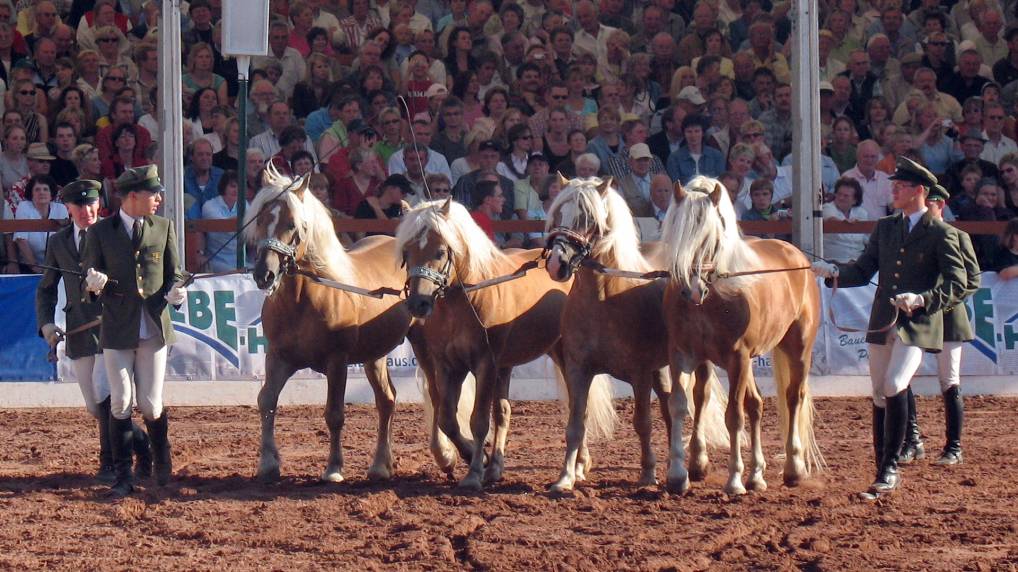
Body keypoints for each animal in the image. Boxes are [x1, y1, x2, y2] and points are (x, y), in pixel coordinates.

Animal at [244, 163, 419, 480]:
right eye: (261, 220)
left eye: (293, 225)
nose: (264, 274)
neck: (302, 301)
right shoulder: (278, 357)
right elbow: (267, 401)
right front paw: (268, 463)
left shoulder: (337, 361)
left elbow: (334, 414)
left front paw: (334, 468)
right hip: (374, 356)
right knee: (387, 400)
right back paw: (381, 465)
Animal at [394, 198, 610, 488]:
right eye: (406, 252)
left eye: (440, 252)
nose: (418, 303)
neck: (465, 300)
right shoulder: (449, 366)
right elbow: (448, 419)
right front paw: (477, 459)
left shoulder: (485, 364)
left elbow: (478, 420)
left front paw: (474, 473)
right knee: (505, 411)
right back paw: (499, 467)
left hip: (566, 357)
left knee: (576, 406)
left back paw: (577, 466)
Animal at [545, 174, 737, 490]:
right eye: (558, 214)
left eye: (588, 218)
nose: (556, 263)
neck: (604, 298)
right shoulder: (578, 369)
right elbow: (576, 423)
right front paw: (565, 478)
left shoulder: (639, 373)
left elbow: (643, 423)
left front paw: (648, 474)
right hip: (663, 369)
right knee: (670, 409)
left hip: (695, 363)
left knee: (699, 400)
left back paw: (696, 463)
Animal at [655, 176, 822, 492]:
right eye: (677, 233)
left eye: (710, 238)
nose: (691, 290)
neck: (712, 298)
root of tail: (797, 257)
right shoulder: (683, 354)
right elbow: (681, 404)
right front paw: (679, 474)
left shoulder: (737, 358)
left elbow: (733, 416)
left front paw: (733, 479)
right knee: (755, 404)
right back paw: (756, 475)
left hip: (798, 348)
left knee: (793, 396)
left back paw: (793, 468)